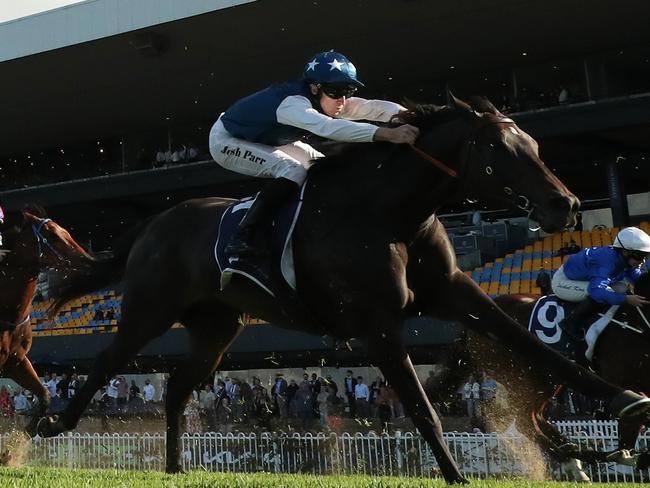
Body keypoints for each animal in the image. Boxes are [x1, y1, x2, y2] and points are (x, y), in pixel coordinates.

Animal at [39, 95, 648, 484]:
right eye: (498, 150)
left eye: (535, 144)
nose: (566, 204)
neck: (387, 213)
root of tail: (153, 224)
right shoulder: (377, 324)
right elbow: (421, 408)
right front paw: (455, 476)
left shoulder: (455, 293)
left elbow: (531, 346)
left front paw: (626, 403)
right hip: (149, 308)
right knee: (106, 362)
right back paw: (51, 421)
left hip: (216, 328)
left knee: (176, 389)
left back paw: (173, 466)